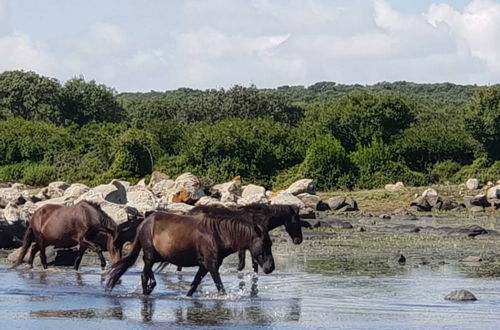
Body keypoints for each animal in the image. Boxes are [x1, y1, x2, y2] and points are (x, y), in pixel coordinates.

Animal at [106, 211, 276, 296]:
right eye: (265, 244)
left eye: (271, 244)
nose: (270, 268)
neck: (218, 235)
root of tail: (143, 224)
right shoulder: (211, 264)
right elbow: (220, 286)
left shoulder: (205, 266)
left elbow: (194, 284)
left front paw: (186, 296)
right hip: (149, 254)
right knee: (144, 275)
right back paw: (146, 291)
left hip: (155, 256)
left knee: (147, 273)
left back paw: (150, 287)